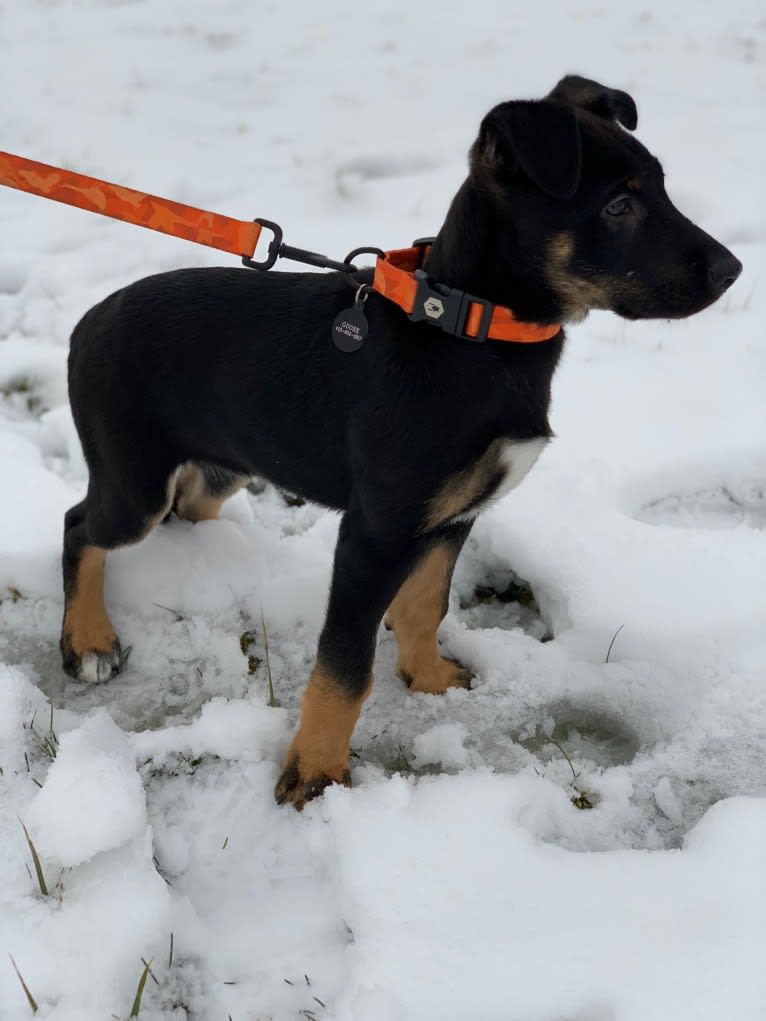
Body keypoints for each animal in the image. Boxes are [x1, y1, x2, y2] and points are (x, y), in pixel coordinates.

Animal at [61, 75, 743, 804]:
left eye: (663, 188)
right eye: (618, 206)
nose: (733, 270)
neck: (470, 330)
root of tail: (87, 321)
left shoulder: (452, 515)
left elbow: (424, 603)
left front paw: (428, 677)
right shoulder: (376, 531)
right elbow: (345, 664)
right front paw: (316, 769)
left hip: (224, 464)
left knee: (185, 506)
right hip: (135, 480)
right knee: (81, 527)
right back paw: (90, 640)